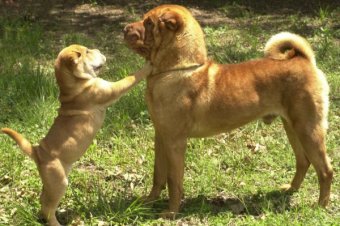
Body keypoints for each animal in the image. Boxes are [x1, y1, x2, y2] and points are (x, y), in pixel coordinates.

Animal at [1, 44, 150, 226]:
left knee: (43, 200)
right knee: (48, 207)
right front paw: (148, 65)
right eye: (87, 52)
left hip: (52, 182)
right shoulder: (110, 90)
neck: (73, 85)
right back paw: (55, 223)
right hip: (59, 183)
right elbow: (131, 78)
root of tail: (38, 152)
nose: (97, 49)